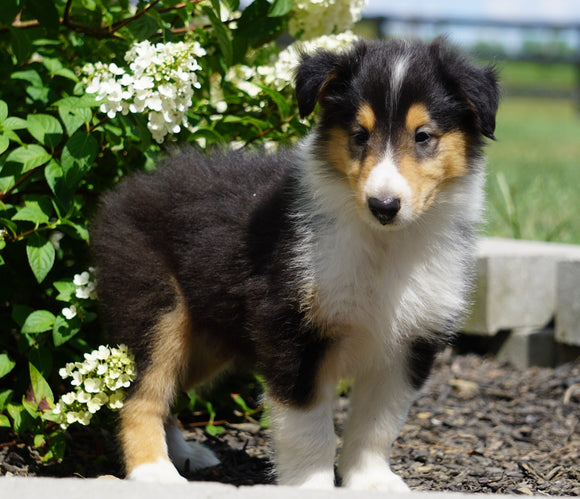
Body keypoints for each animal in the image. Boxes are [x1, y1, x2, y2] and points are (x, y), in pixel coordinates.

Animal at [90, 37, 498, 490]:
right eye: (359, 135)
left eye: (423, 136)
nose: (383, 206)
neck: (383, 245)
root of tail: (127, 189)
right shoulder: (290, 330)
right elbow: (309, 428)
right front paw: (311, 486)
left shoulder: (408, 345)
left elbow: (377, 425)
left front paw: (371, 481)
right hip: (157, 308)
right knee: (140, 395)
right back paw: (155, 472)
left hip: (209, 336)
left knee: (168, 391)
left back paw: (184, 453)